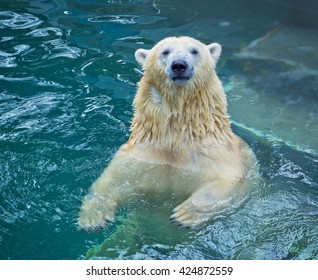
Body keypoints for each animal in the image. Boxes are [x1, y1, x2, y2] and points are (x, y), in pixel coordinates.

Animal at [79, 36, 258, 231]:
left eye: (194, 51)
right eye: (165, 52)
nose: (179, 65)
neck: (176, 138)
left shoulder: (216, 155)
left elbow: (228, 182)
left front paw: (184, 214)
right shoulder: (143, 155)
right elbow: (115, 180)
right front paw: (93, 218)